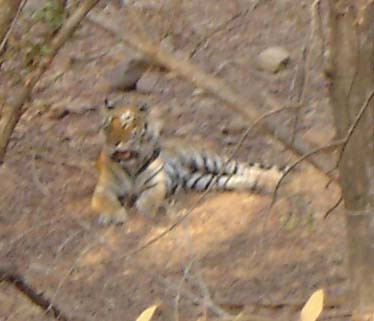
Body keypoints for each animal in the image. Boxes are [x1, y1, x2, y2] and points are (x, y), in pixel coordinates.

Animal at [90, 99, 286, 224]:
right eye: (107, 127)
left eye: (126, 124)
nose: (114, 144)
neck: (131, 163)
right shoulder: (104, 188)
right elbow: (106, 201)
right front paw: (114, 216)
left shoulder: (157, 183)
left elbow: (150, 198)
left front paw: (147, 208)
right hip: (199, 180)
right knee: (231, 178)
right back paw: (254, 184)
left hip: (209, 159)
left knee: (244, 166)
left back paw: (271, 178)